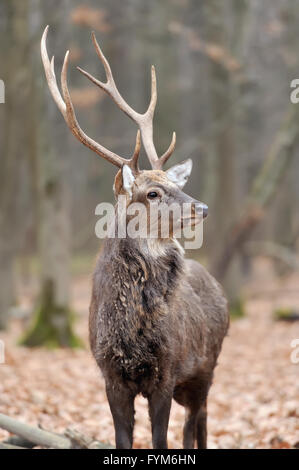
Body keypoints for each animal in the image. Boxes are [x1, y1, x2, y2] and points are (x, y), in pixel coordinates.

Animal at [41, 26, 230, 452]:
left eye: (175, 185)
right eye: (153, 193)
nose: (203, 207)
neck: (132, 334)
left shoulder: (167, 371)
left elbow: (161, 439)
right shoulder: (110, 375)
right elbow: (123, 439)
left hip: (207, 366)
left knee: (196, 423)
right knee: (197, 422)